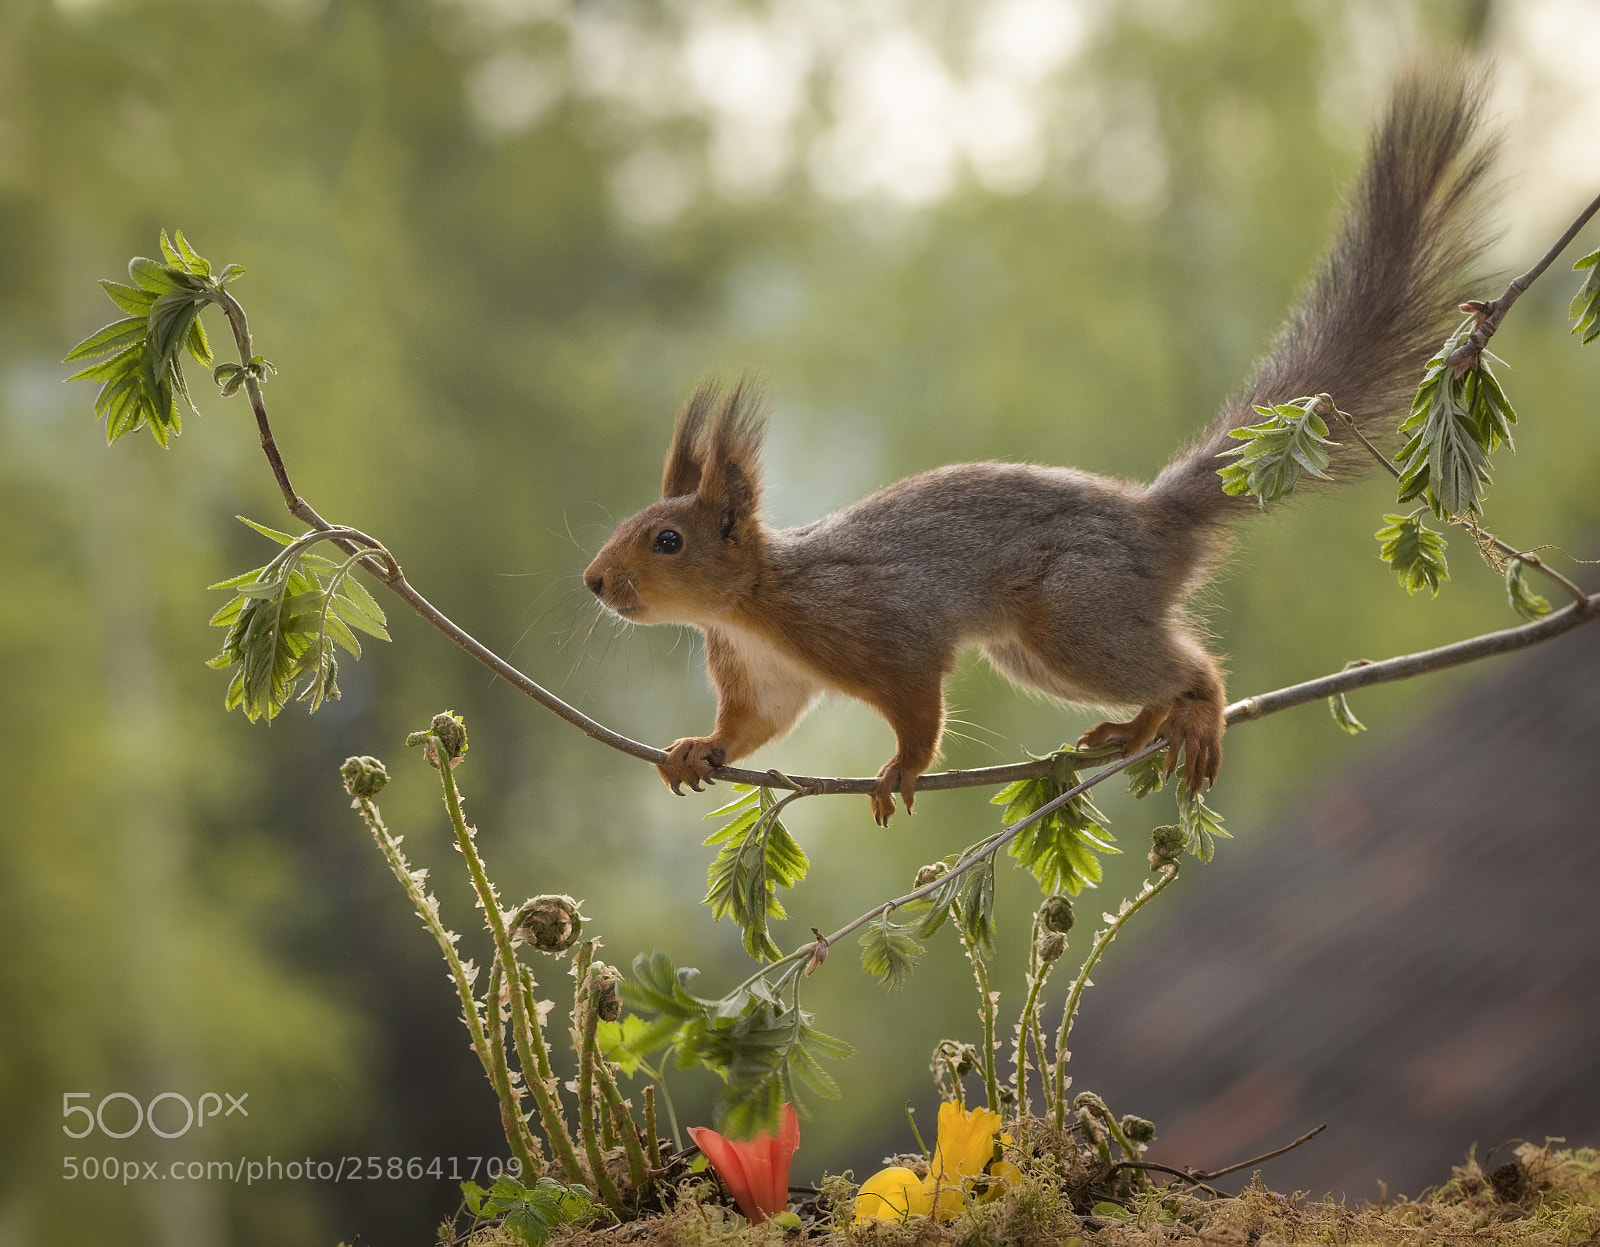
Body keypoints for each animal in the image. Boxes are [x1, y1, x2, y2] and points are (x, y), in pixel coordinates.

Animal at [583, 63, 1493, 826]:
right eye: (630, 526)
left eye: (667, 540)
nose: (594, 582)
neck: (752, 606)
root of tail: (1150, 520)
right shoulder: (763, 676)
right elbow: (754, 726)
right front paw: (698, 747)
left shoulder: (877, 629)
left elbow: (918, 705)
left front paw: (901, 767)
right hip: (1033, 650)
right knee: (1159, 669)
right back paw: (1139, 728)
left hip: (1077, 616)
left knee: (1192, 664)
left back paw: (1195, 710)